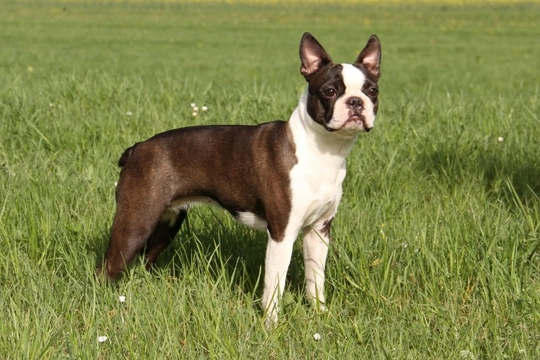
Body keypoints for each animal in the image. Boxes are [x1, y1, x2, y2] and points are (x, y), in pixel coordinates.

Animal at [99, 33, 382, 326]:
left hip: (167, 223)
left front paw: (320, 315)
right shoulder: (282, 232)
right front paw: (271, 326)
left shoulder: (319, 230)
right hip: (137, 220)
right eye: (329, 91)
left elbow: (316, 278)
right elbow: (274, 285)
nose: (356, 102)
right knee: (108, 267)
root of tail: (137, 148)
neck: (323, 150)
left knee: (145, 260)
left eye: (372, 91)